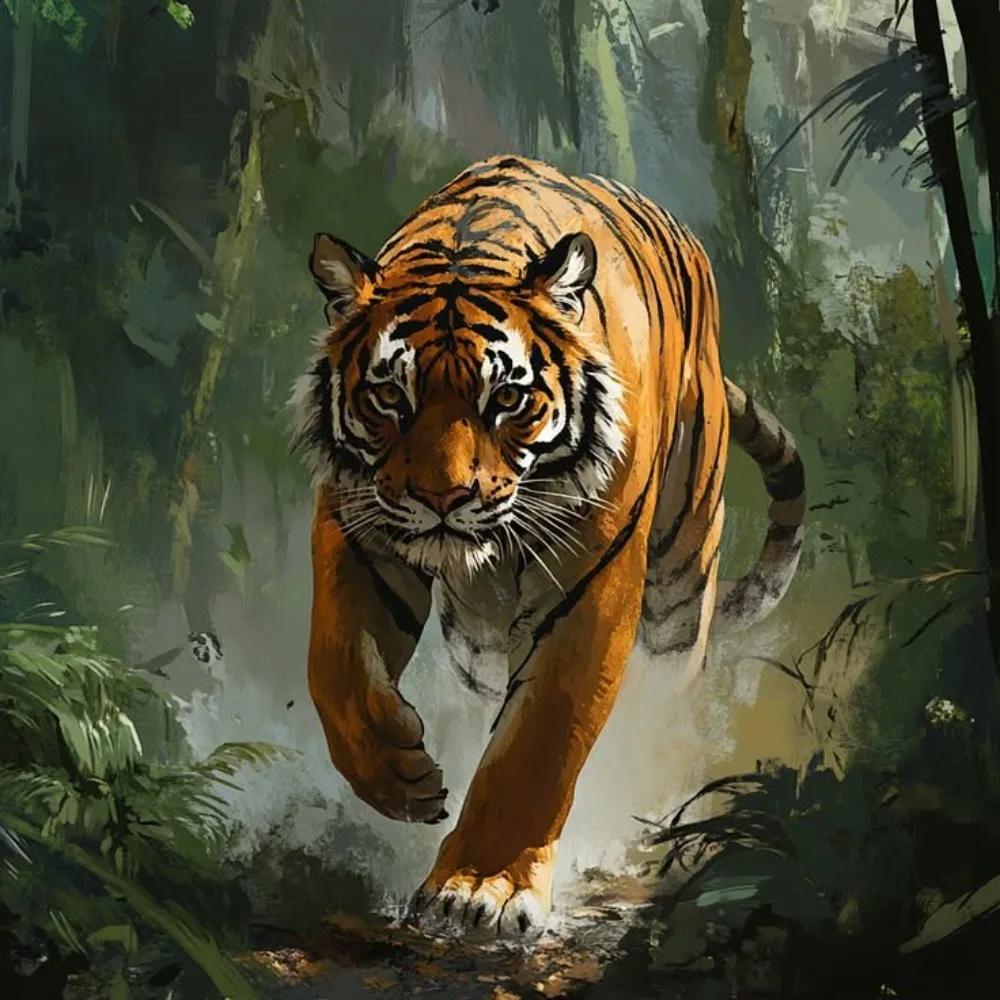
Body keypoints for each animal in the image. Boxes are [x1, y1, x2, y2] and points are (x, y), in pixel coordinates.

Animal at [290, 154, 805, 939]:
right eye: (389, 397)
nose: (444, 500)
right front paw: (401, 777)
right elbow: (338, 666)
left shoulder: (590, 584)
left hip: (680, 580)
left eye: (507, 398)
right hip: (474, 641)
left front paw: (482, 890)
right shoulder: (360, 530)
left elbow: (538, 741)